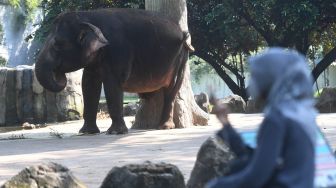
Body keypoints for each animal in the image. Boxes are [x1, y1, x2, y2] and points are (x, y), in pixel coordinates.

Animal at [35, 8, 193, 134]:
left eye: (57, 45)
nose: (59, 74)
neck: (88, 16)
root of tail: (183, 32)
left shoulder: (118, 50)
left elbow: (112, 84)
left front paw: (115, 132)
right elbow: (88, 84)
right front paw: (87, 132)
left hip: (181, 56)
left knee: (172, 89)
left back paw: (164, 127)